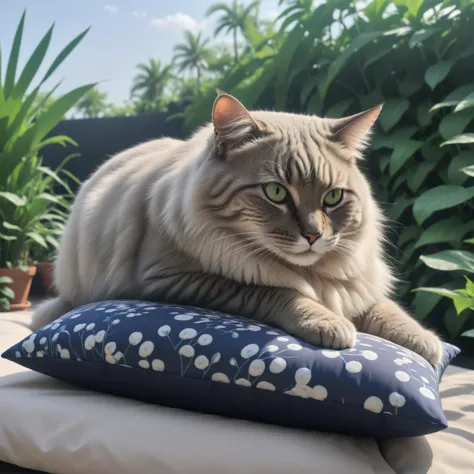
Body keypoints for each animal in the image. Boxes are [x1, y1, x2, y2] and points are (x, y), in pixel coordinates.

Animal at [31, 93, 442, 366]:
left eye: (333, 198)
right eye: (276, 192)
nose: (313, 236)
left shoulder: (355, 284)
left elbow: (386, 308)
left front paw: (425, 341)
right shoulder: (173, 279)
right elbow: (277, 291)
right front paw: (329, 323)